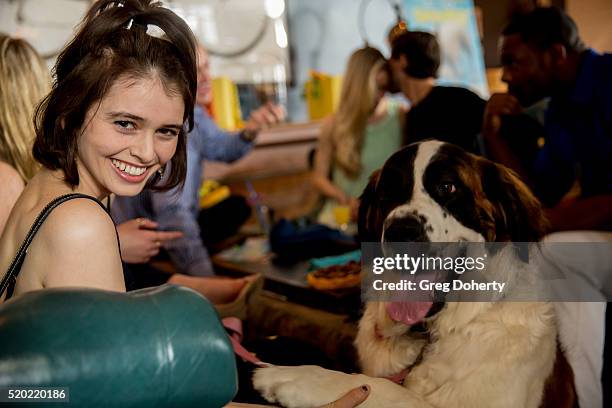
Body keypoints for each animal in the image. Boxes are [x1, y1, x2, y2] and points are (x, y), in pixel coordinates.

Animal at [251, 141, 576, 408]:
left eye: (448, 187)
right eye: (388, 192)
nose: (401, 231)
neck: (434, 333)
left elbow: (386, 388)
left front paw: (301, 377)